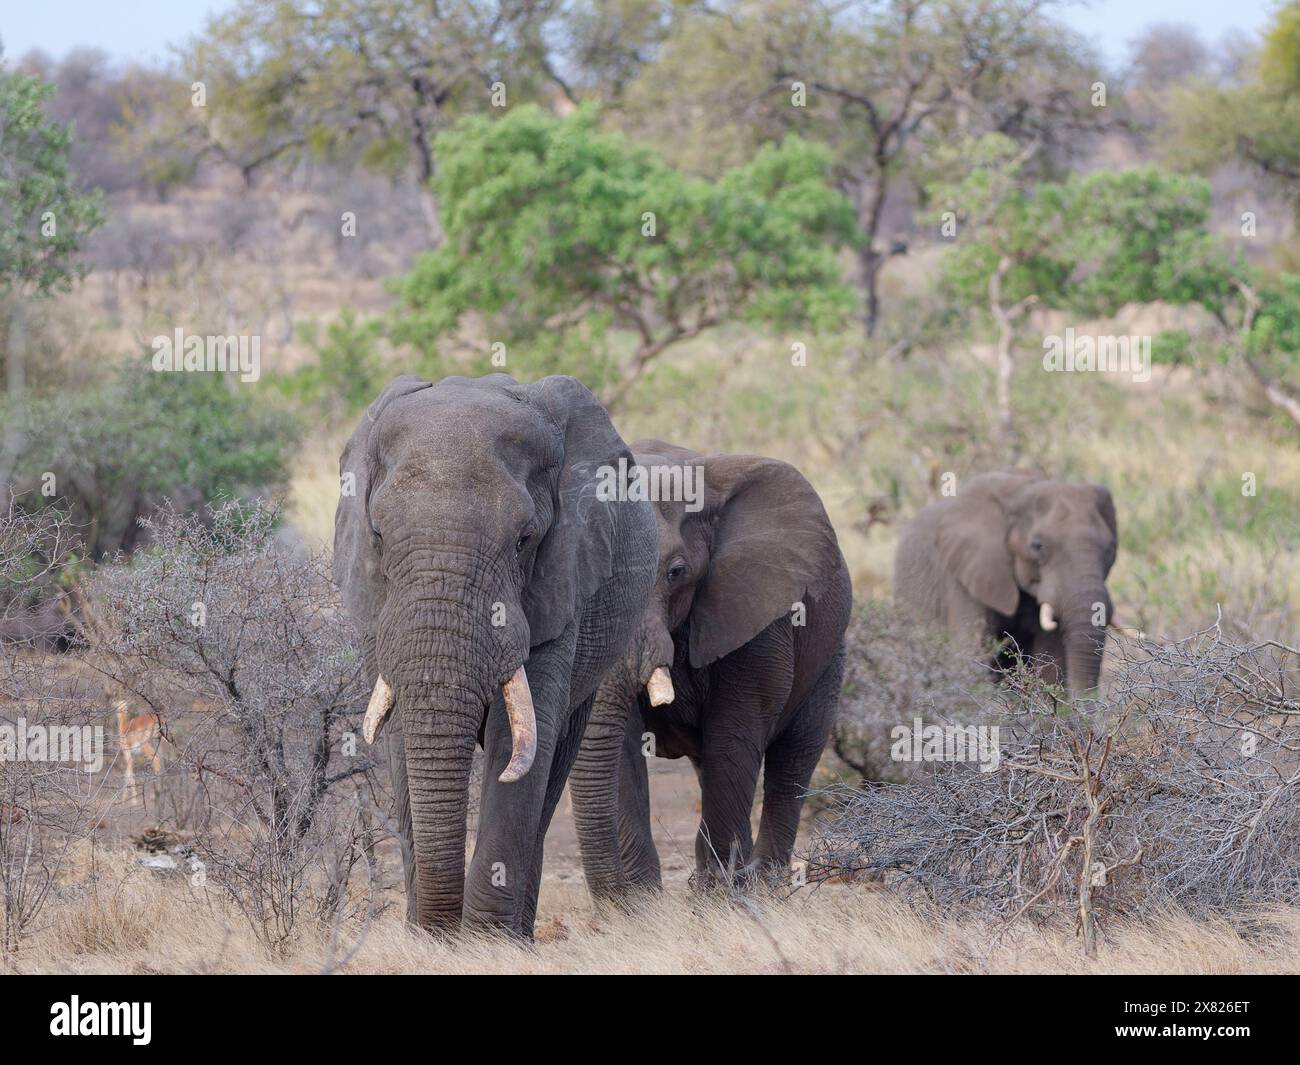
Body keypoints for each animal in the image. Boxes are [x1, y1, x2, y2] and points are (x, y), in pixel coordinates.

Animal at [335, 371, 660, 936]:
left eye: (524, 540)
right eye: (377, 535)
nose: (437, 931)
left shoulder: (562, 584)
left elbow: (522, 740)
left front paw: (487, 943)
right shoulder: (378, 609)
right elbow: (399, 734)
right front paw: (429, 940)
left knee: (553, 763)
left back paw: (519, 936)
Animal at [569, 436, 852, 905]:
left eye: (676, 572)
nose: (612, 905)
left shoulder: (759, 611)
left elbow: (733, 735)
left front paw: (717, 902)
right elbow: (621, 744)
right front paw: (642, 908)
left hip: (831, 656)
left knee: (792, 761)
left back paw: (765, 887)